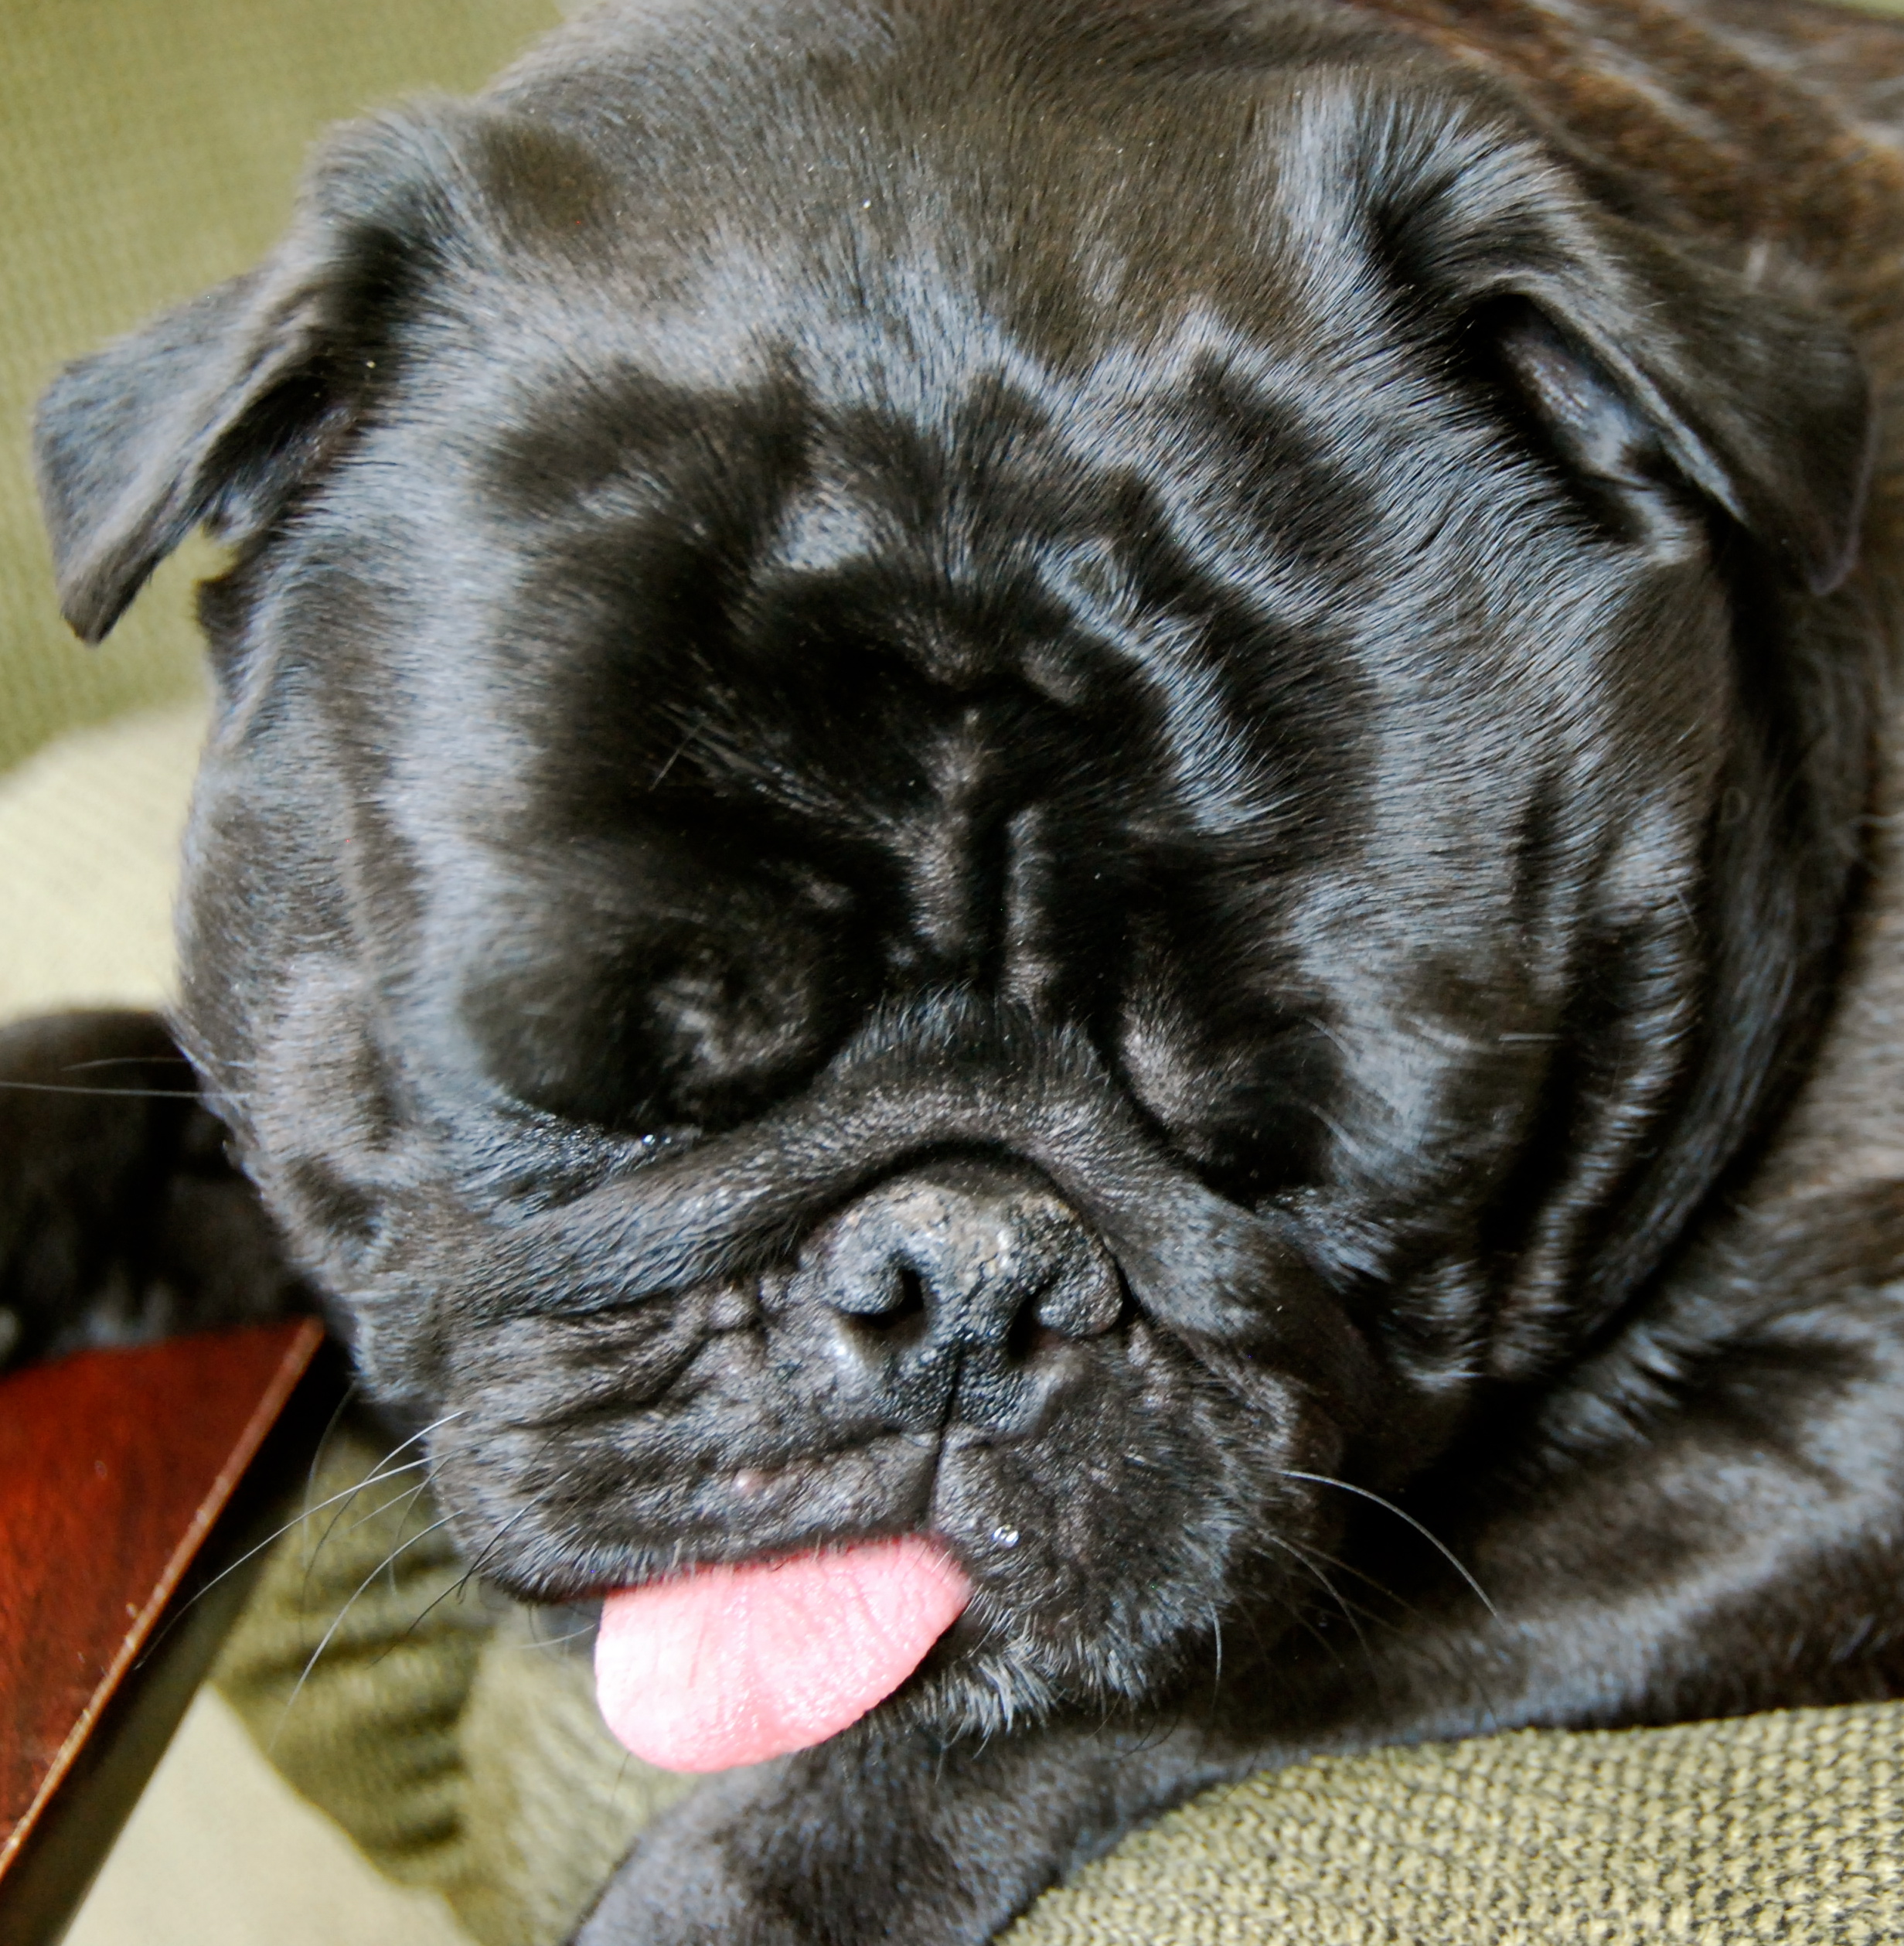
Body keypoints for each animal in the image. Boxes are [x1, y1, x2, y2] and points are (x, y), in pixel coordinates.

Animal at [15, 0, 1904, 1937]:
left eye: (1316, 1149)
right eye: (579, 1092)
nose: (964, 1273)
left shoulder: (1824, 1460)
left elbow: (1149, 1678)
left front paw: (732, 1891)